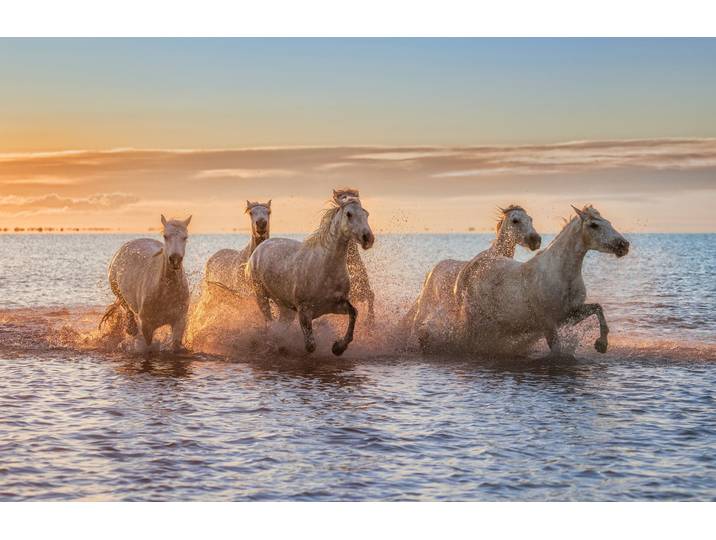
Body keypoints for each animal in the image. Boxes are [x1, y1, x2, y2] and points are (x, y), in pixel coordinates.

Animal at [100, 215, 192, 353]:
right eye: (165, 236)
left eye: (185, 237)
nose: (175, 259)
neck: (165, 293)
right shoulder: (147, 325)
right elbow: (147, 345)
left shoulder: (179, 321)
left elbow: (175, 344)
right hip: (118, 292)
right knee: (126, 308)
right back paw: (131, 329)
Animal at [405, 205, 541, 351]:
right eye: (515, 220)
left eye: (531, 219)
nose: (536, 240)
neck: (492, 256)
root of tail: (432, 270)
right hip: (425, 308)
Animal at [456, 205, 629, 357]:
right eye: (594, 225)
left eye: (609, 223)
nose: (624, 245)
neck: (561, 275)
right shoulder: (548, 323)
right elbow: (556, 349)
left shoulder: (570, 315)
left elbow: (598, 308)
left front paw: (601, 345)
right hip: (476, 320)